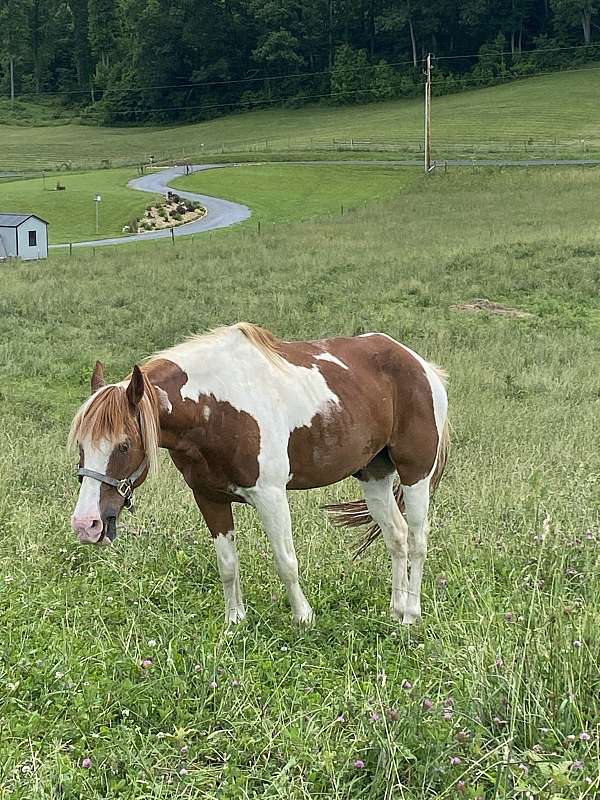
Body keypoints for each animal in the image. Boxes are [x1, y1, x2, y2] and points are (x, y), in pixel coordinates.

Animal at [70, 322, 448, 628]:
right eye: (81, 446)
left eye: (124, 445)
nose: (86, 524)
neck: (216, 408)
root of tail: (421, 366)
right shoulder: (209, 498)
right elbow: (227, 563)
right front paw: (235, 621)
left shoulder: (271, 496)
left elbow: (286, 561)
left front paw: (303, 618)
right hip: (374, 476)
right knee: (396, 536)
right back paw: (396, 609)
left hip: (416, 475)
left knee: (418, 540)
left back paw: (411, 615)